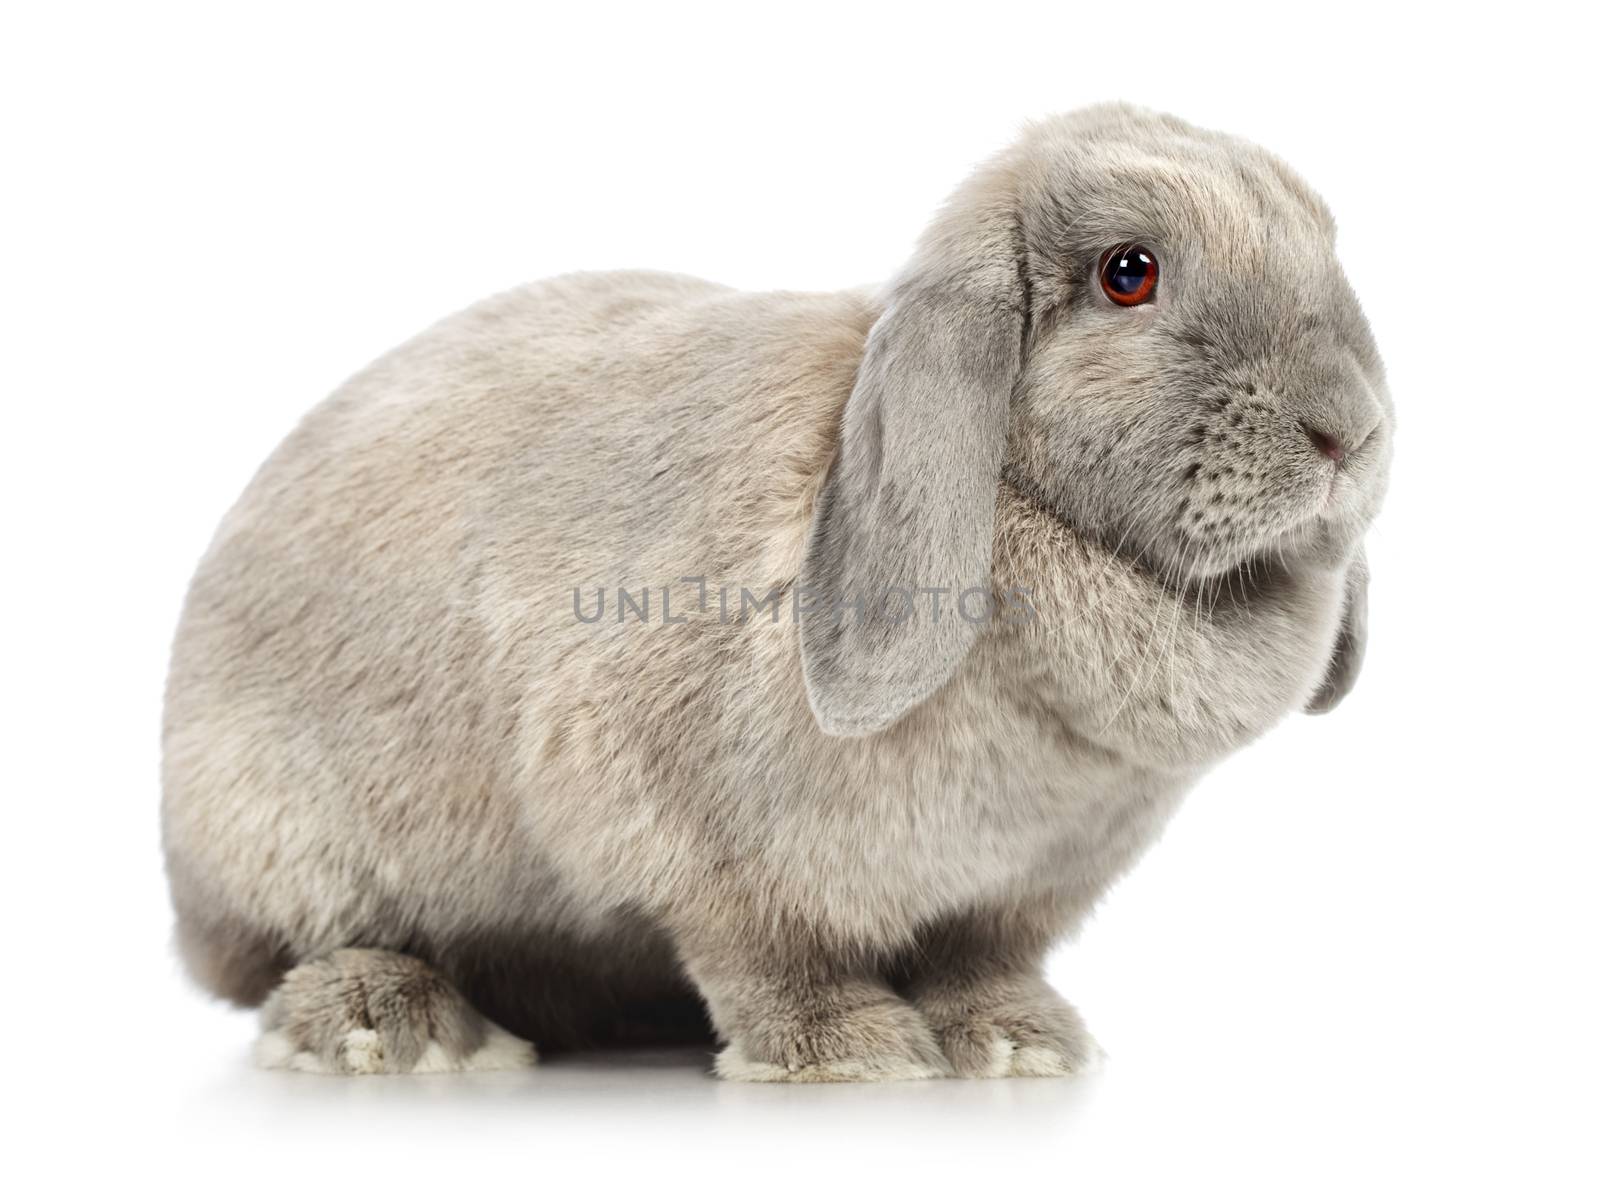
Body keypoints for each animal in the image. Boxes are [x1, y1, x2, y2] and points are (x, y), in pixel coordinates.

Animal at [159, 101, 1388, 1081]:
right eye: (1128, 272)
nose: (1350, 430)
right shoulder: (691, 836)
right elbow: (769, 953)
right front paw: (847, 1050)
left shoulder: (1017, 891)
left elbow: (979, 960)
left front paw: (1019, 1042)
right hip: (288, 844)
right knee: (307, 953)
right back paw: (398, 1026)